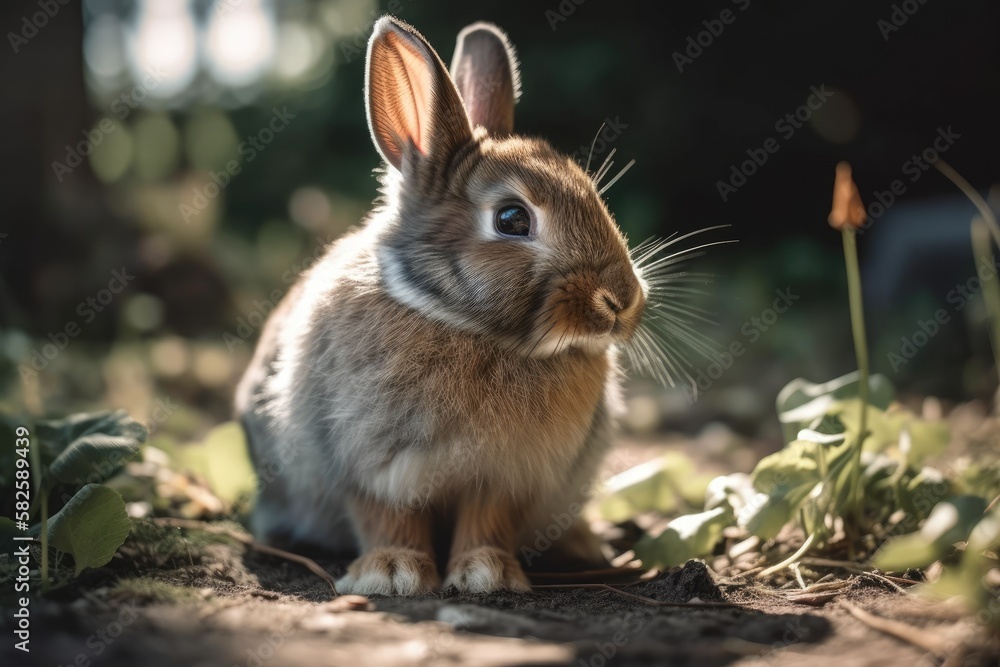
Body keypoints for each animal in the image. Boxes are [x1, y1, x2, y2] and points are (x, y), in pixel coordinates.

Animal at [236, 15, 648, 596]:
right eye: (512, 219)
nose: (623, 301)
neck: (461, 323)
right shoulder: (372, 470)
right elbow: (387, 518)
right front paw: (392, 573)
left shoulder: (503, 477)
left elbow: (487, 520)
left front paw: (487, 574)